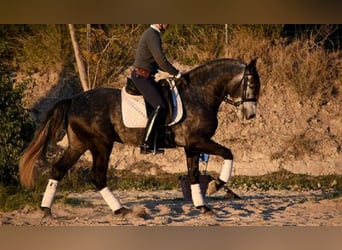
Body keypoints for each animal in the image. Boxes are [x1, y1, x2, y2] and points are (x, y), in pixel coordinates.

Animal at [18, 58, 260, 217]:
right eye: (251, 84)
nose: (250, 115)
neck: (199, 94)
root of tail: (73, 99)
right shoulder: (198, 142)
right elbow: (228, 153)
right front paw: (215, 186)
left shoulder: (191, 146)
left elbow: (193, 175)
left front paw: (203, 206)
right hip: (100, 144)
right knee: (97, 176)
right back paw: (121, 210)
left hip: (79, 144)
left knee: (58, 170)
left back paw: (46, 210)